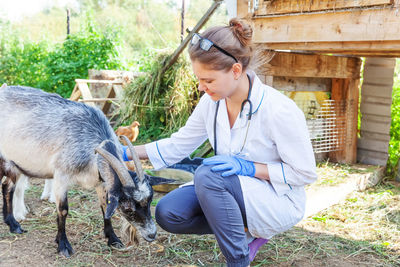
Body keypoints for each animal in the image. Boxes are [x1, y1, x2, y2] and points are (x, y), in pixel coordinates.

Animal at [0, 85, 172, 258]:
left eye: (150, 201)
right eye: (128, 208)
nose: (152, 234)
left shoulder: (102, 182)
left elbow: (104, 207)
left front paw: (113, 238)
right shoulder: (61, 176)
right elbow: (63, 210)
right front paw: (63, 244)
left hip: (13, 164)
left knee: (7, 188)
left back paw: (13, 224)